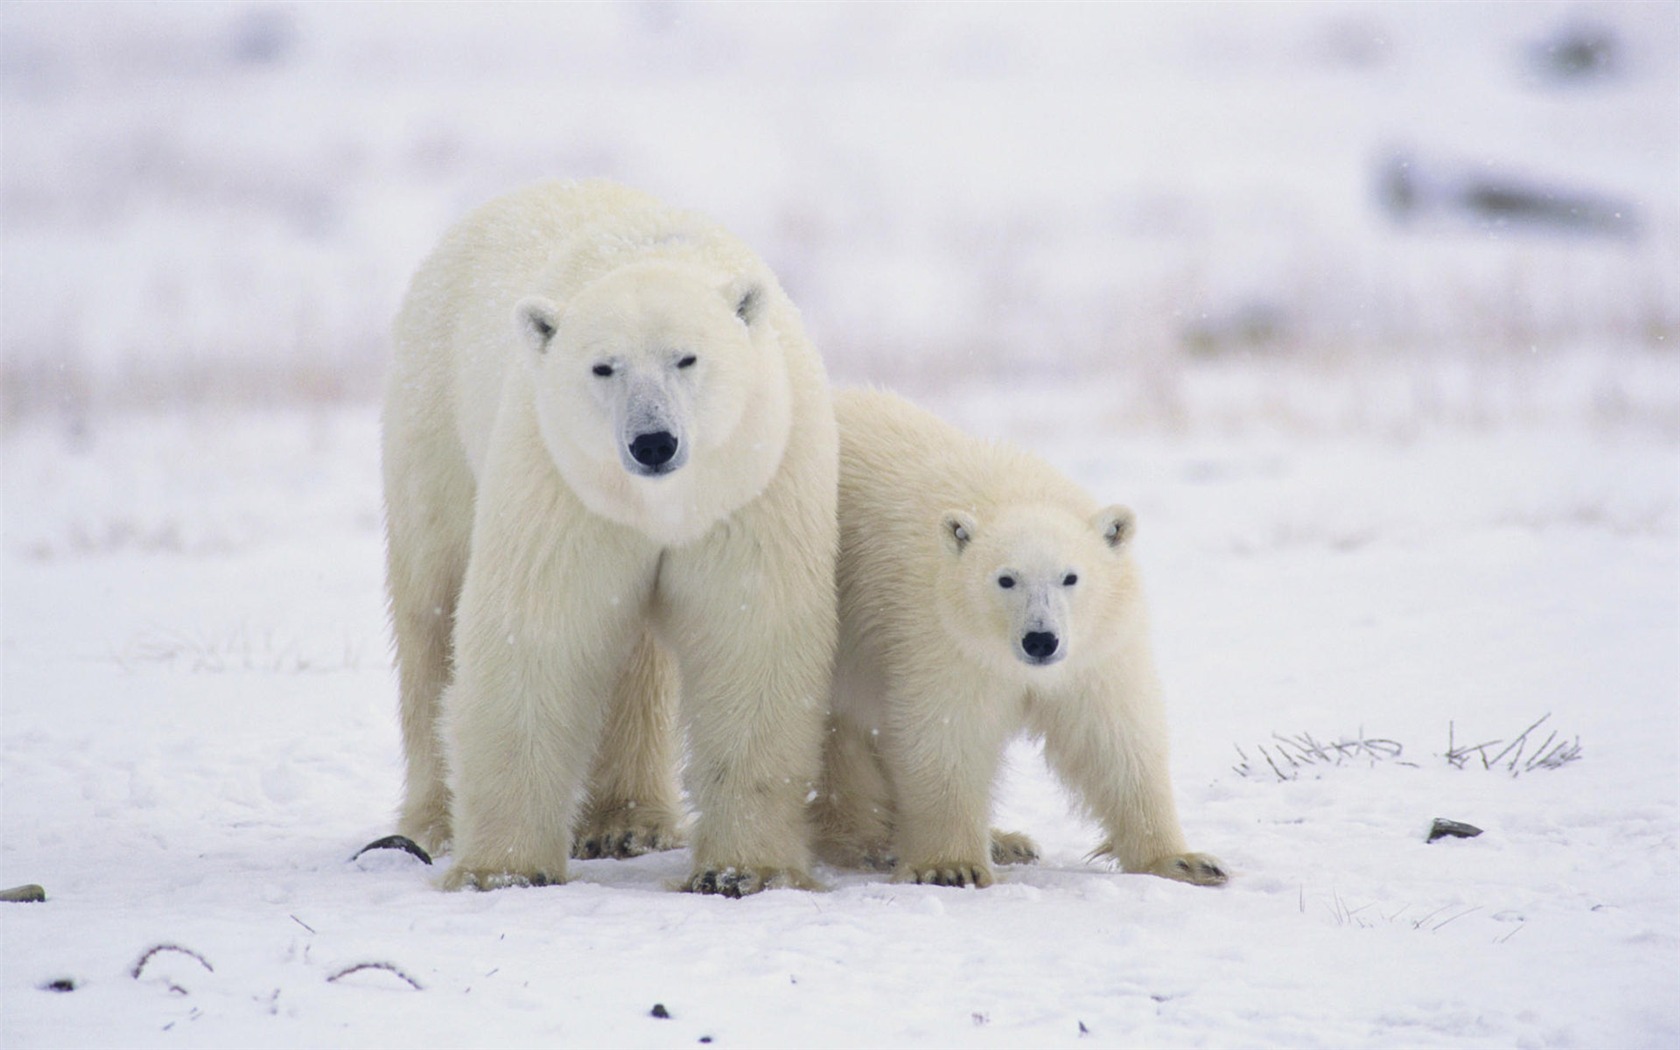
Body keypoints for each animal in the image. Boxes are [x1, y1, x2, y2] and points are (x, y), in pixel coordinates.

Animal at [386, 179, 846, 893]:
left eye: (687, 357)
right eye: (604, 367)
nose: (653, 442)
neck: (660, 505)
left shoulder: (754, 480)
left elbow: (751, 635)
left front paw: (742, 870)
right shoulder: (561, 481)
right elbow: (537, 631)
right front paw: (504, 870)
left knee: (636, 660)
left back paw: (629, 823)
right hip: (434, 420)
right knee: (431, 611)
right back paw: (433, 822)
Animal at [809, 389, 1223, 887]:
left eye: (1070, 577)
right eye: (1005, 579)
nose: (1040, 640)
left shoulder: (1096, 648)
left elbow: (1113, 736)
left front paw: (1185, 861)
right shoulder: (940, 634)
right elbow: (948, 732)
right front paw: (951, 866)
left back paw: (1007, 841)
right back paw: (868, 841)